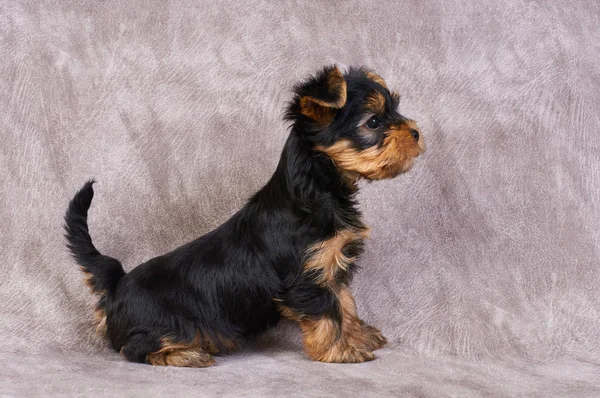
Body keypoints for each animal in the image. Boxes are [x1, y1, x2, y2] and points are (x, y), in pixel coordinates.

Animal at [64, 66, 422, 366]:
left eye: (395, 111)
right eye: (373, 122)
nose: (416, 132)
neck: (317, 190)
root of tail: (117, 284)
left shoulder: (332, 267)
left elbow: (345, 304)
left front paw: (358, 337)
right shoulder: (306, 277)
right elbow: (327, 314)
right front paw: (341, 351)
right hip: (164, 322)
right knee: (134, 348)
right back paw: (184, 354)